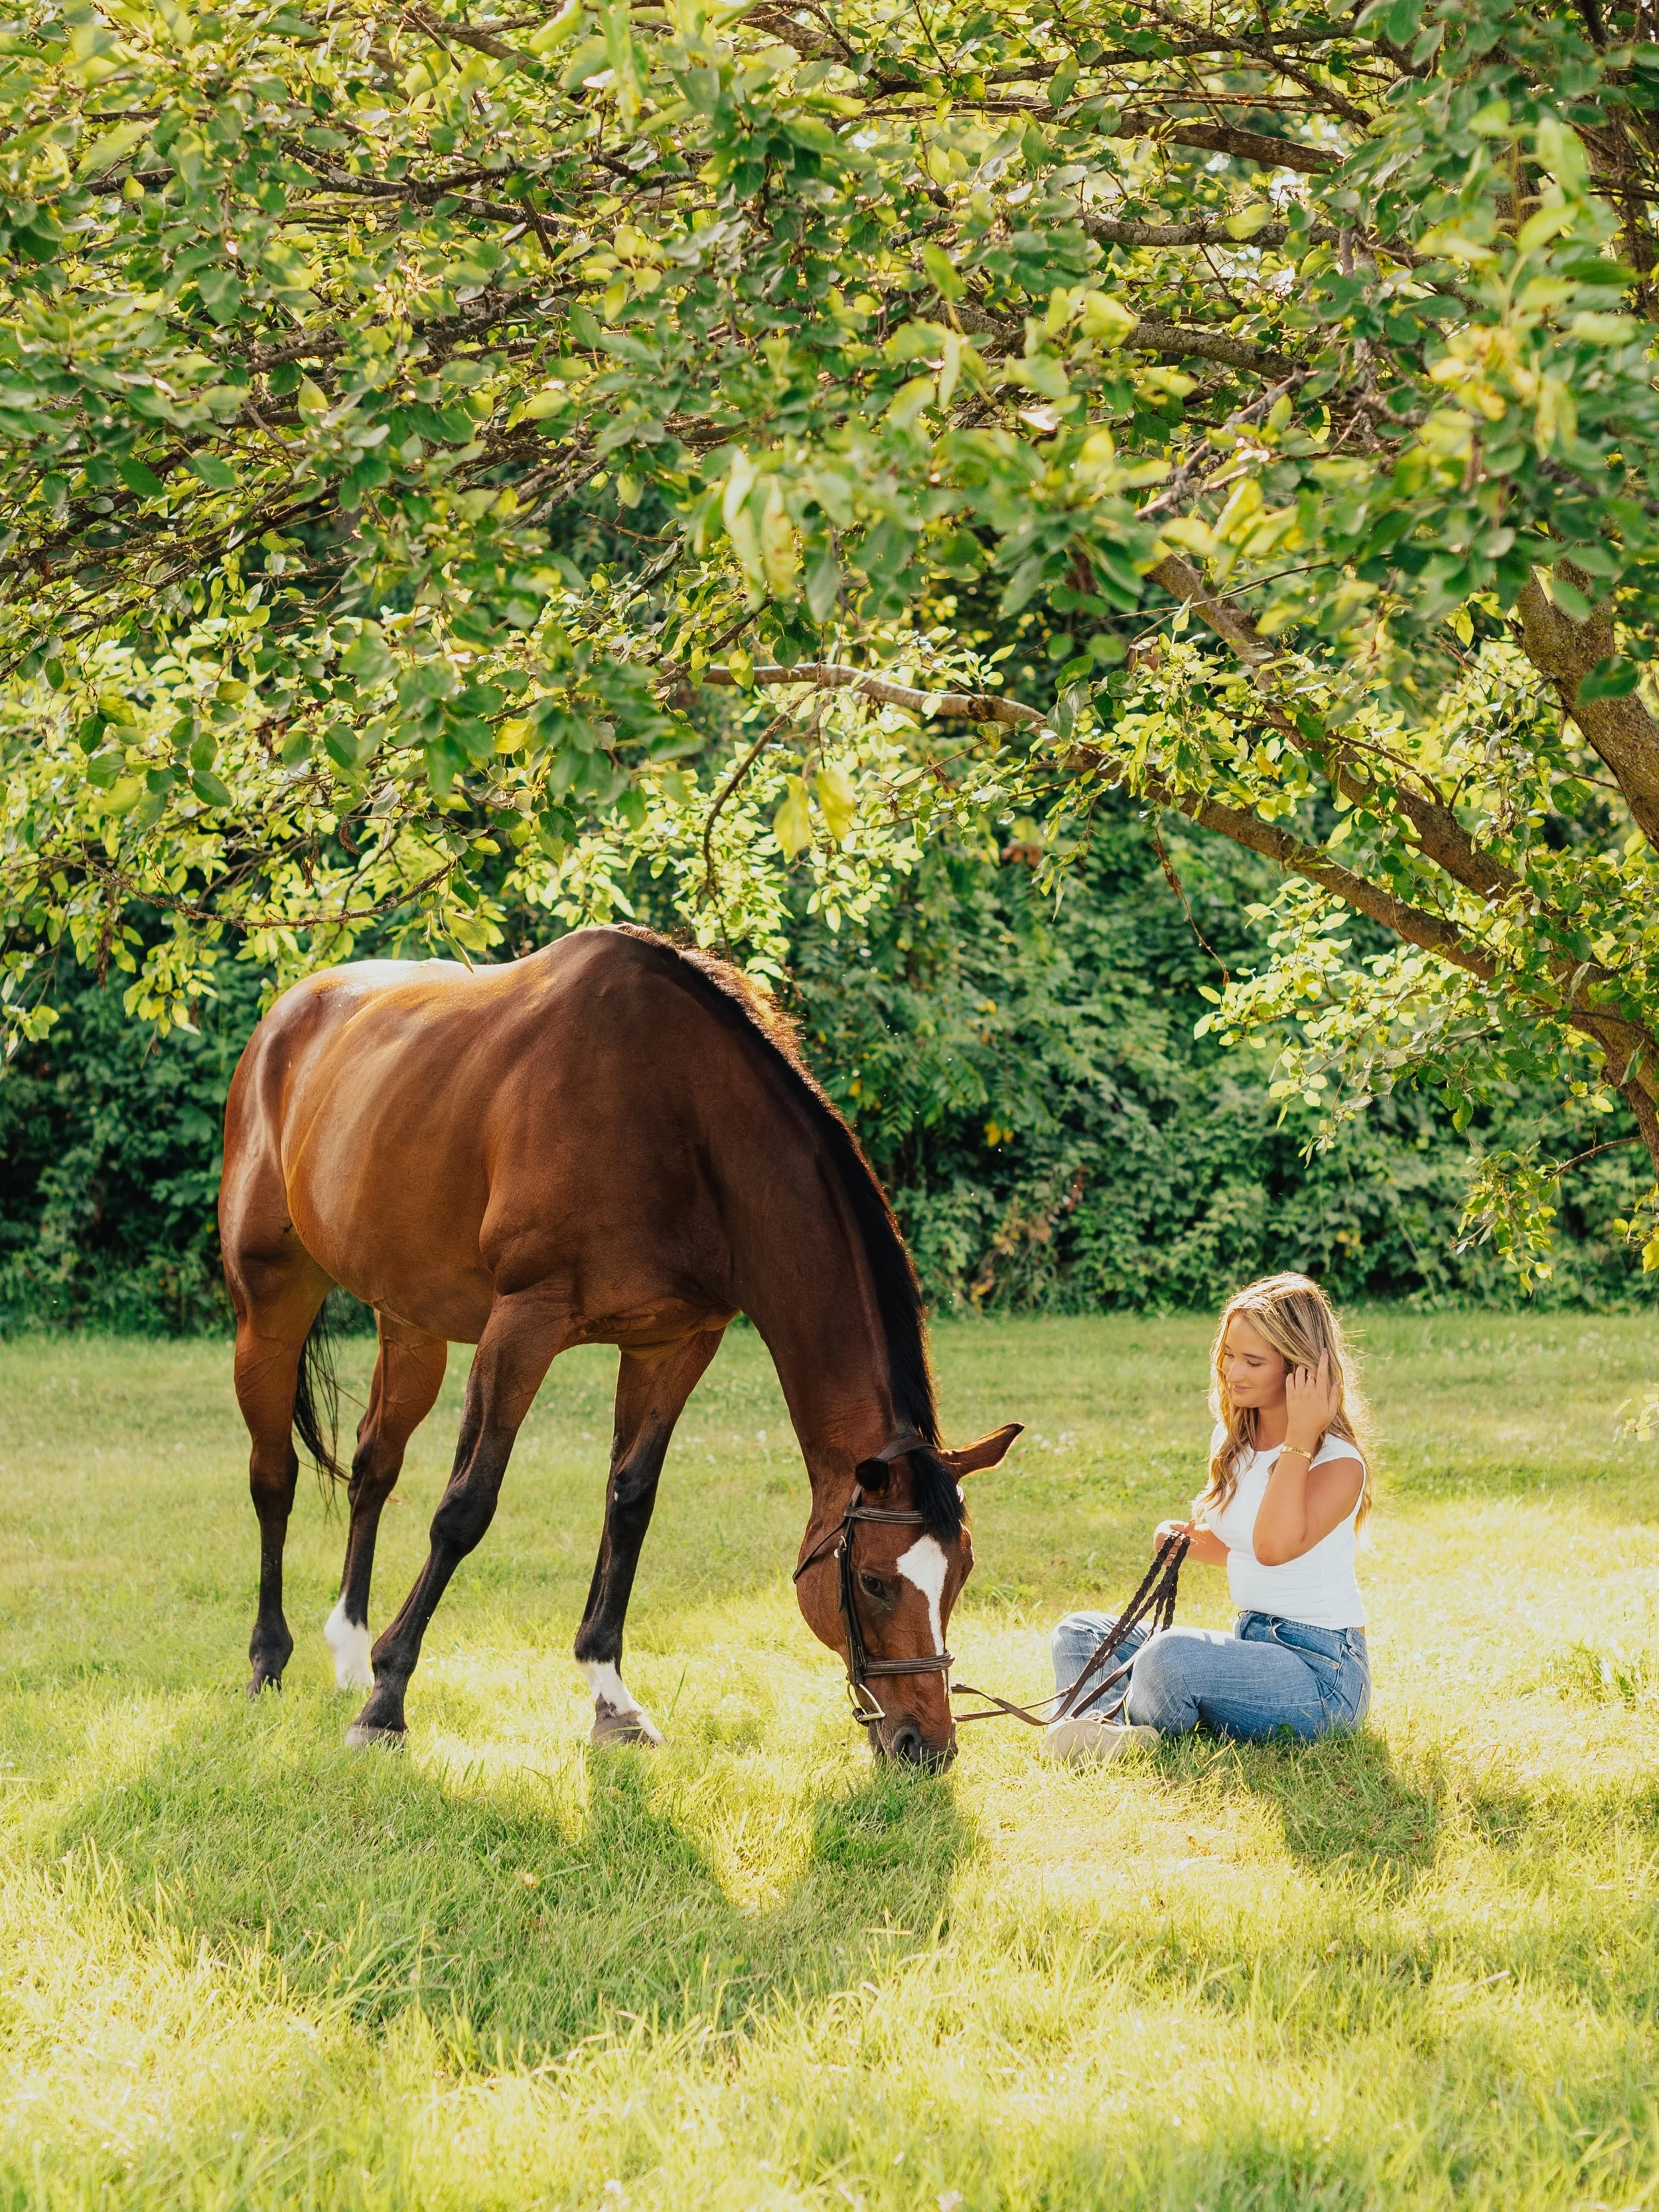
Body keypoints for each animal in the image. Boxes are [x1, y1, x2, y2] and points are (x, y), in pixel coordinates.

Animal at [217, 925, 1021, 1766]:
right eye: (871, 1582)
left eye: (961, 1573)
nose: (927, 1745)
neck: (677, 1118)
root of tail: (287, 1015)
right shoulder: (522, 1326)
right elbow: (464, 1508)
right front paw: (387, 1701)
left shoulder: (674, 1344)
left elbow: (629, 1504)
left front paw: (611, 1700)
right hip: (269, 1305)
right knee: (273, 1477)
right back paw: (271, 1660)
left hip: (411, 1322)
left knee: (374, 1464)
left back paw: (347, 1646)